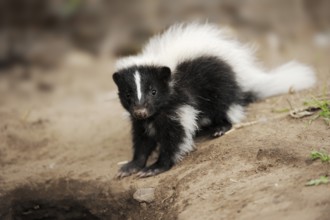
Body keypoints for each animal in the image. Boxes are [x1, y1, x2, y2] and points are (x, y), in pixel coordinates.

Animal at [112, 22, 316, 178]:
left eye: (153, 91)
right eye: (128, 94)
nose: (140, 111)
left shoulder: (180, 104)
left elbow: (176, 135)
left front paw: (157, 166)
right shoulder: (143, 121)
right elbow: (143, 140)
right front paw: (132, 165)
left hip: (220, 86)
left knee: (225, 107)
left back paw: (220, 128)